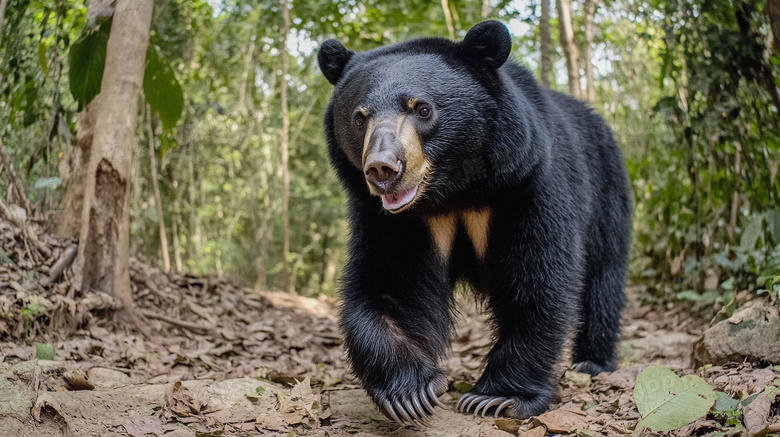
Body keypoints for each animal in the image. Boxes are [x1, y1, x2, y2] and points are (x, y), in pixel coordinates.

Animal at [320, 21, 632, 426]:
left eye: (422, 109)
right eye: (359, 118)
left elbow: (538, 280)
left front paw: (496, 397)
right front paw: (411, 392)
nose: (382, 168)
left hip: (607, 190)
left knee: (603, 277)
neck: (452, 194)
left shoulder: (525, 185)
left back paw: (592, 363)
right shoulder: (394, 220)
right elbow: (388, 284)